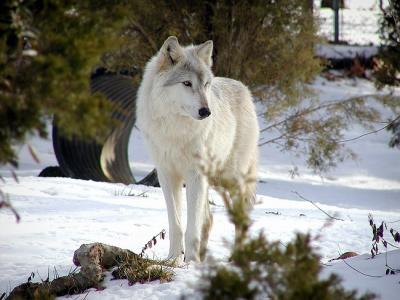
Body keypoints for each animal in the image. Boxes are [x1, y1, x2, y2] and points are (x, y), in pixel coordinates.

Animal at [136, 35, 258, 262]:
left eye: (205, 85)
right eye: (187, 83)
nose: (206, 111)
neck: (175, 130)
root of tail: (243, 88)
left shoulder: (195, 175)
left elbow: (192, 226)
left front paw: (190, 262)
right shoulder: (167, 175)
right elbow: (176, 223)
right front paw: (173, 260)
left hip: (229, 179)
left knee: (241, 218)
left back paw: (237, 258)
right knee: (208, 220)